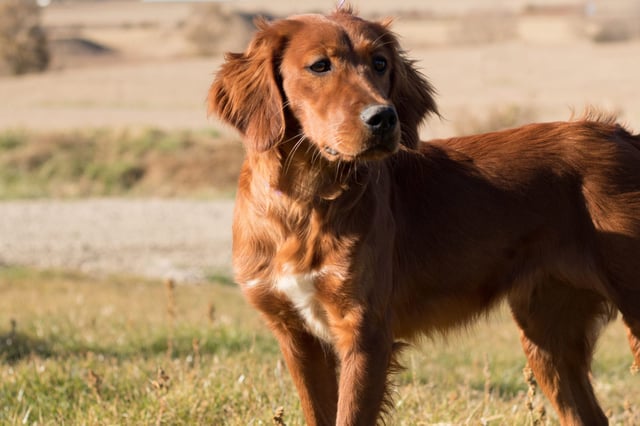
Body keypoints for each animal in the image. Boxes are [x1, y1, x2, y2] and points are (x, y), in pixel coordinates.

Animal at [209, 7, 640, 426]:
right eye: (319, 66)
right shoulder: (296, 336)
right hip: (546, 333)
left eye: (380, 63)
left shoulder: (365, 333)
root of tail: (624, 136)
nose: (383, 118)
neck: (305, 202)